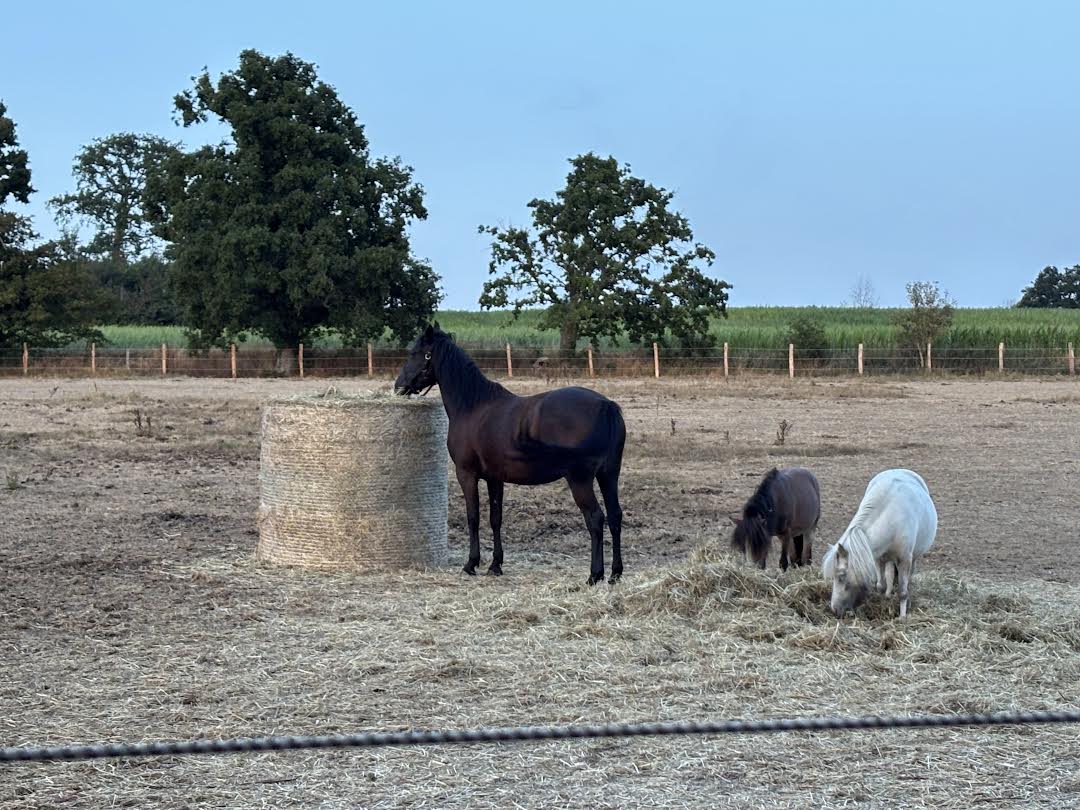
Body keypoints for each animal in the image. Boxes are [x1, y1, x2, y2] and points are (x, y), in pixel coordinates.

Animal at [394, 324, 627, 585]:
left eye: (416, 353)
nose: (398, 386)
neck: (473, 406)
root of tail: (605, 405)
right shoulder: (495, 478)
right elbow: (496, 518)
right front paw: (495, 565)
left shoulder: (466, 474)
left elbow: (473, 517)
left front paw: (471, 564)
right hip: (608, 475)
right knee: (615, 517)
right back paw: (615, 573)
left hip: (581, 480)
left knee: (595, 519)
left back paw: (594, 575)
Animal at [821, 468, 938, 618]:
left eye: (841, 576)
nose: (834, 609)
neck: (891, 520)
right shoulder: (877, 558)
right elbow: (880, 586)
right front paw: (882, 602)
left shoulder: (905, 559)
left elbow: (903, 592)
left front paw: (902, 617)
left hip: (913, 557)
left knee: (909, 578)